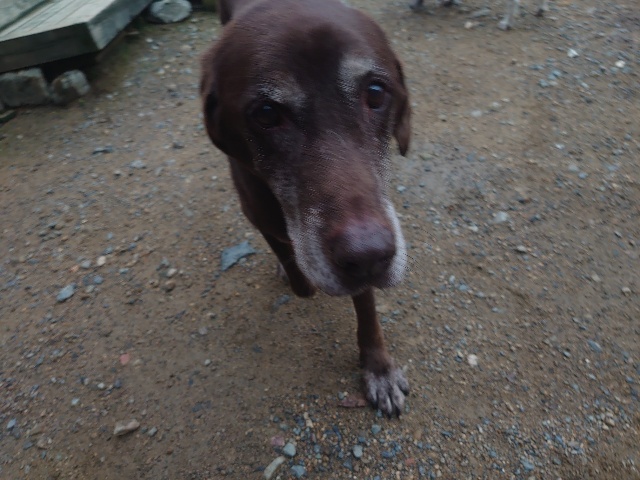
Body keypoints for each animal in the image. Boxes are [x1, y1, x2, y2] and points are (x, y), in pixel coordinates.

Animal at [200, 0, 411, 416]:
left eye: (375, 93)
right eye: (266, 114)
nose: (369, 256)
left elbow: (367, 307)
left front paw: (378, 367)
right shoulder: (261, 218)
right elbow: (293, 265)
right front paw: (297, 276)